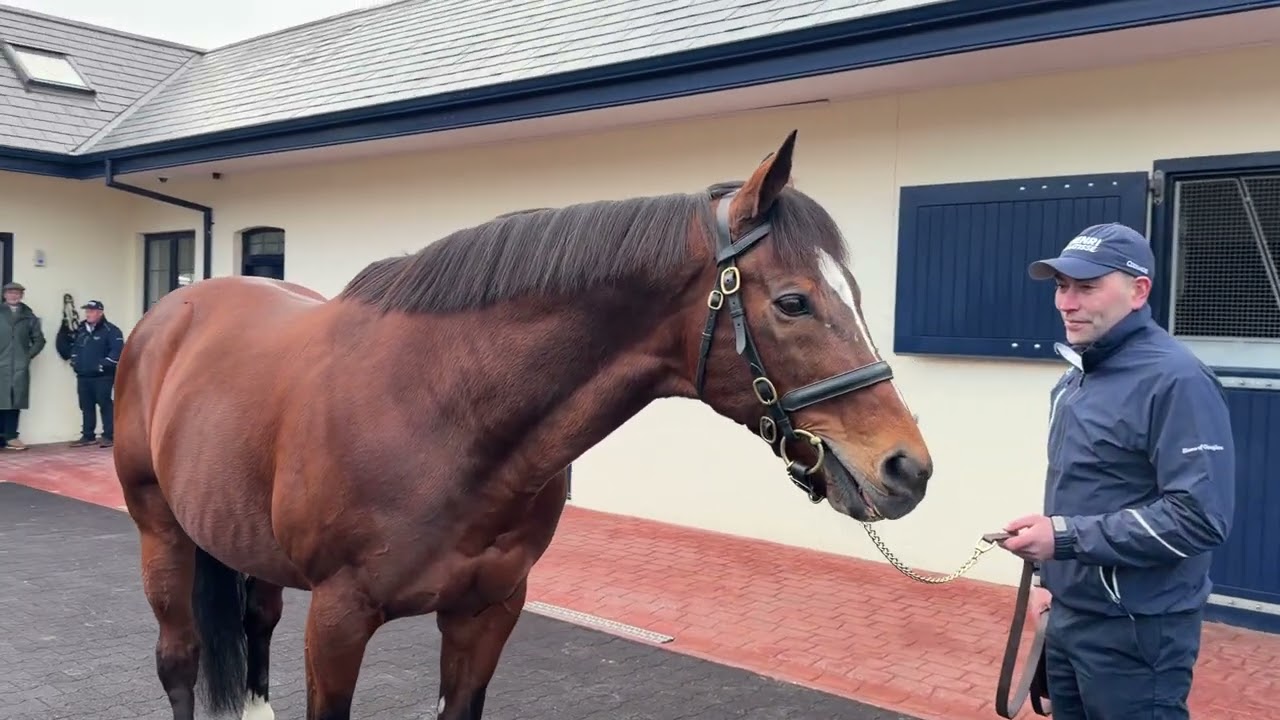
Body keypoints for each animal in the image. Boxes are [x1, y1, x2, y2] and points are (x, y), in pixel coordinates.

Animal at [113, 130, 935, 720]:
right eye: (794, 302)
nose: (908, 469)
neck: (441, 412)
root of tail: (174, 308)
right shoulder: (339, 621)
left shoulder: (487, 615)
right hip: (161, 534)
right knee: (178, 663)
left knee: (256, 624)